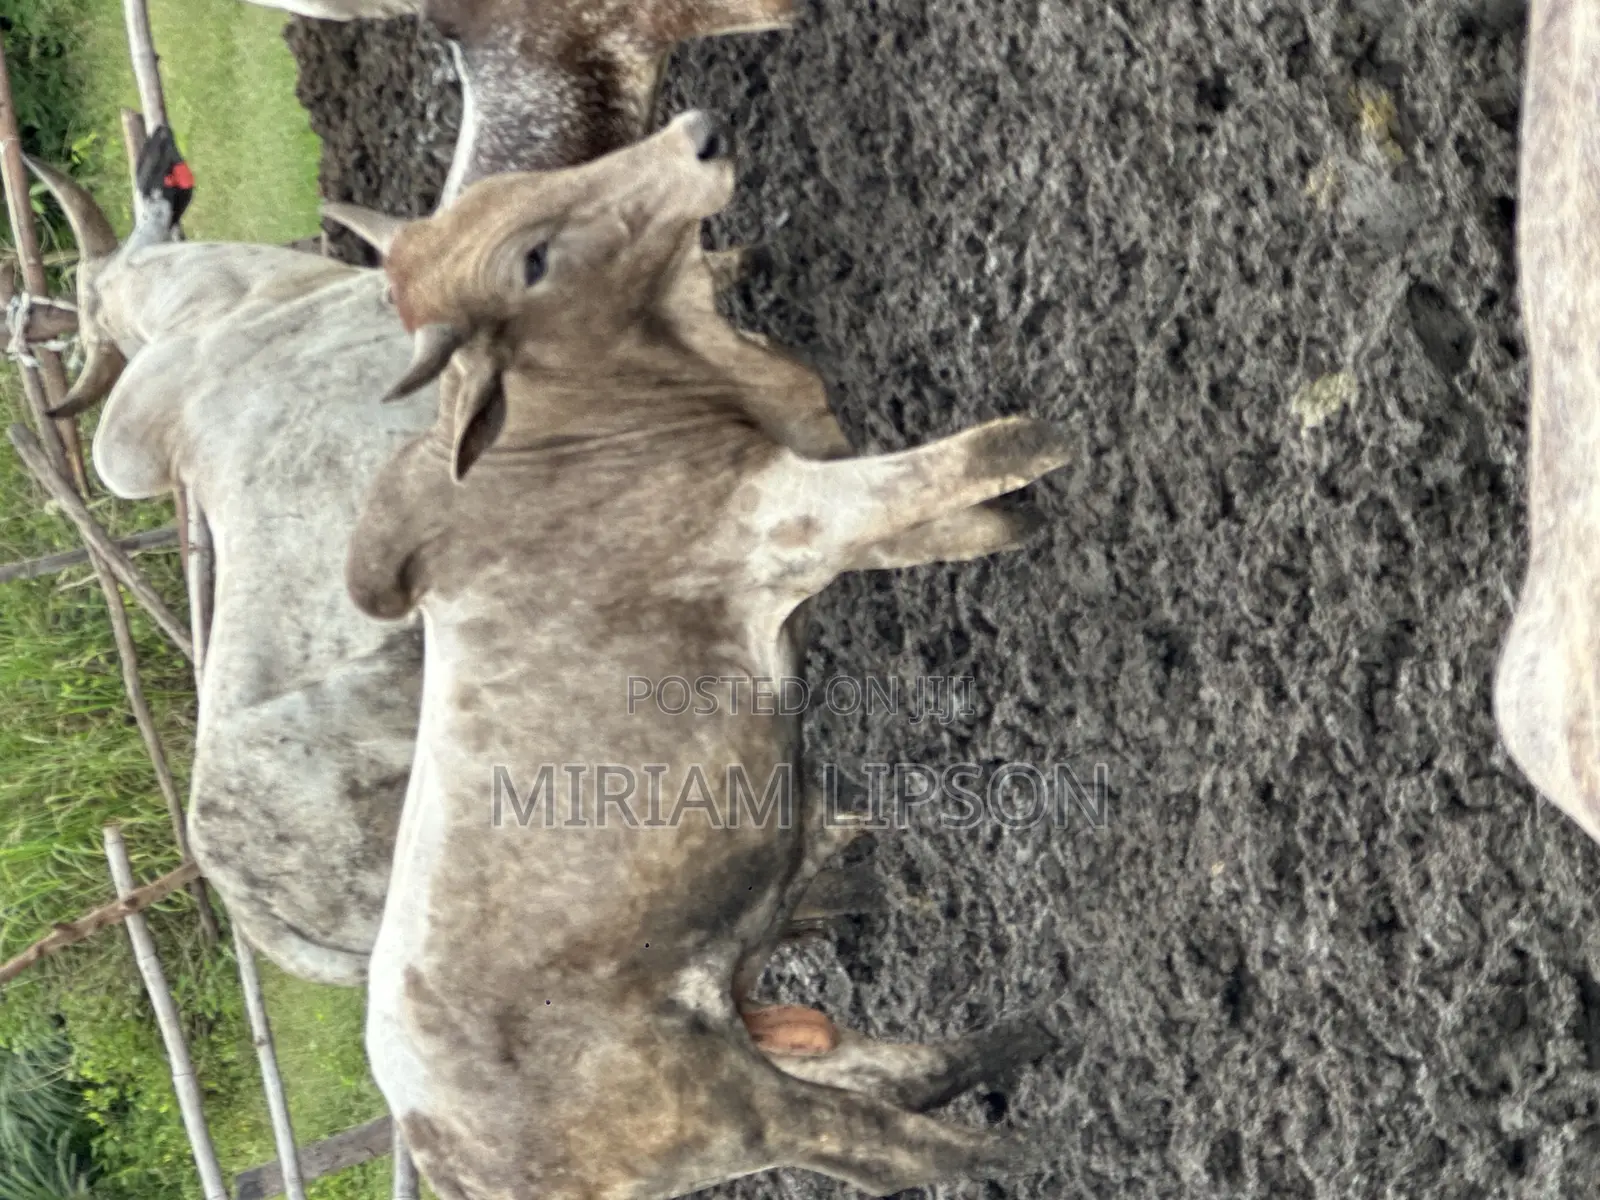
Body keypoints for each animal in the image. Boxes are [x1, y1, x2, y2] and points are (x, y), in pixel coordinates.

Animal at [346, 111, 1066, 1200]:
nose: (697, 134)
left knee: (897, 1076)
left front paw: (1015, 521)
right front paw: (1050, 440)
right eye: (531, 258)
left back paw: (1023, 1039)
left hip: (747, 1028)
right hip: (725, 1106)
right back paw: (1017, 1145)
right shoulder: (787, 519)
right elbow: (973, 458)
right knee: (882, 1144)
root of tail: (439, 1148)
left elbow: (954, 523)